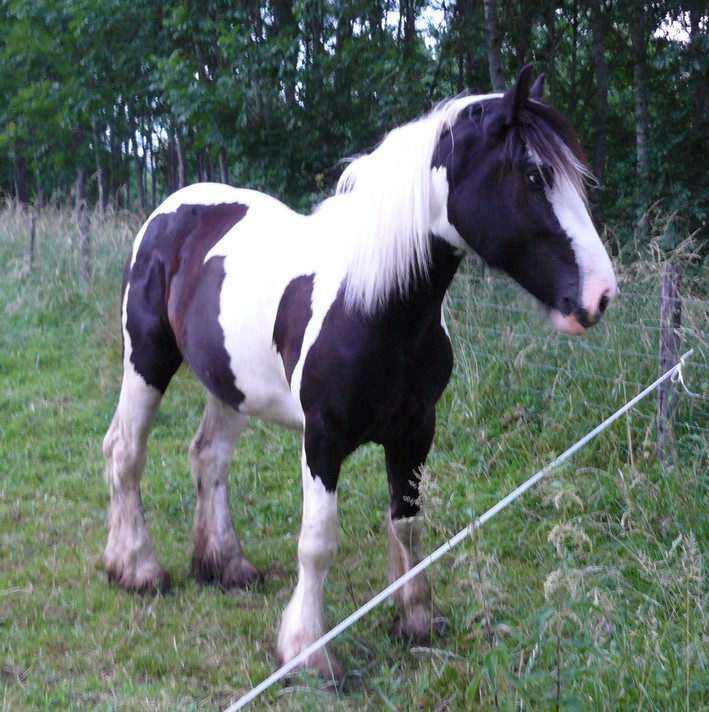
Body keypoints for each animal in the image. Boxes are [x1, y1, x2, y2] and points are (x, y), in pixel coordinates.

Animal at [101, 67, 612, 680]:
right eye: (535, 175)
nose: (600, 295)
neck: (374, 305)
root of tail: (171, 209)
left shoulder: (415, 431)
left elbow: (408, 524)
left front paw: (417, 620)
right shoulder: (323, 437)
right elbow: (318, 541)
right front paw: (308, 650)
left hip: (230, 383)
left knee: (209, 457)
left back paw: (225, 565)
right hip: (147, 359)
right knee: (125, 450)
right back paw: (137, 569)